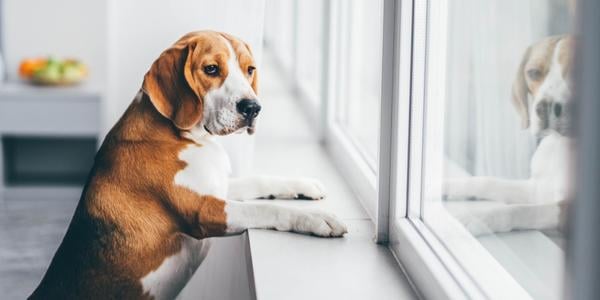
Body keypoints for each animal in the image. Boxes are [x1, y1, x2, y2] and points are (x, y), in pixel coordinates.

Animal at [29, 31, 346, 298]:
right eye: (211, 69)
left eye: (250, 69)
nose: (253, 108)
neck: (186, 136)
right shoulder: (203, 210)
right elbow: (263, 209)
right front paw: (317, 219)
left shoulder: (218, 187)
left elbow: (259, 181)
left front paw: (304, 185)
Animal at [442, 35, 576, 236]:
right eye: (533, 73)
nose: (544, 108)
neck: (562, 146)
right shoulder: (537, 189)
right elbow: (487, 182)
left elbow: (523, 210)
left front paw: (479, 218)